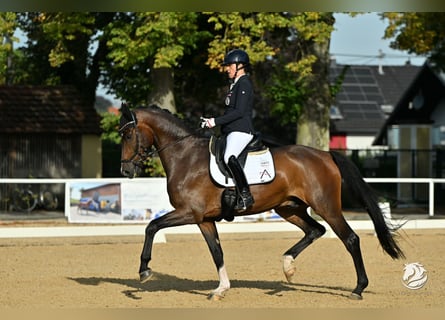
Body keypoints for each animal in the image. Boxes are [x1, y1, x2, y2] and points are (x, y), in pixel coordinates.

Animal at [118, 104, 402, 300]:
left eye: (128, 135)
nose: (125, 171)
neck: (185, 156)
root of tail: (325, 155)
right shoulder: (204, 219)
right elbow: (217, 251)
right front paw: (221, 289)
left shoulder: (189, 212)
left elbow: (152, 226)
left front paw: (144, 270)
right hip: (289, 207)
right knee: (315, 230)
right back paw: (288, 266)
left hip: (327, 207)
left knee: (350, 238)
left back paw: (358, 288)